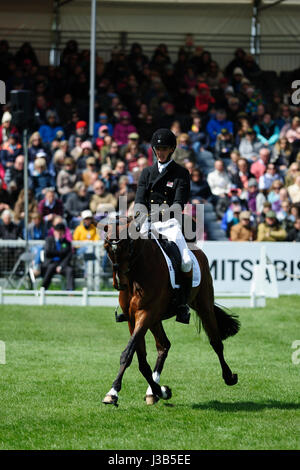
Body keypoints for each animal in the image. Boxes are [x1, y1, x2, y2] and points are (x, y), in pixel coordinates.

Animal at [101, 217, 239, 404]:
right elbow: (141, 361)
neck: (137, 273)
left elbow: (128, 354)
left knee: (216, 342)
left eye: (127, 246)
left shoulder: (145, 314)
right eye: (107, 248)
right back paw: (154, 391)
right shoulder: (132, 318)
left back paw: (229, 377)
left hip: (203, 305)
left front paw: (113, 392)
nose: (119, 283)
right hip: (156, 319)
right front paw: (160, 391)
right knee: (164, 346)